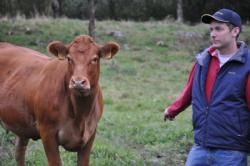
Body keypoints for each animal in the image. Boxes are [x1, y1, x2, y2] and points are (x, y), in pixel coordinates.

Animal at [0, 34, 120, 165]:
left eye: (95, 59)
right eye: (69, 58)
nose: (78, 82)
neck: (80, 115)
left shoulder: (90, 134)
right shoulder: (47, 132)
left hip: (22, 125)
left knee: (20, 152)